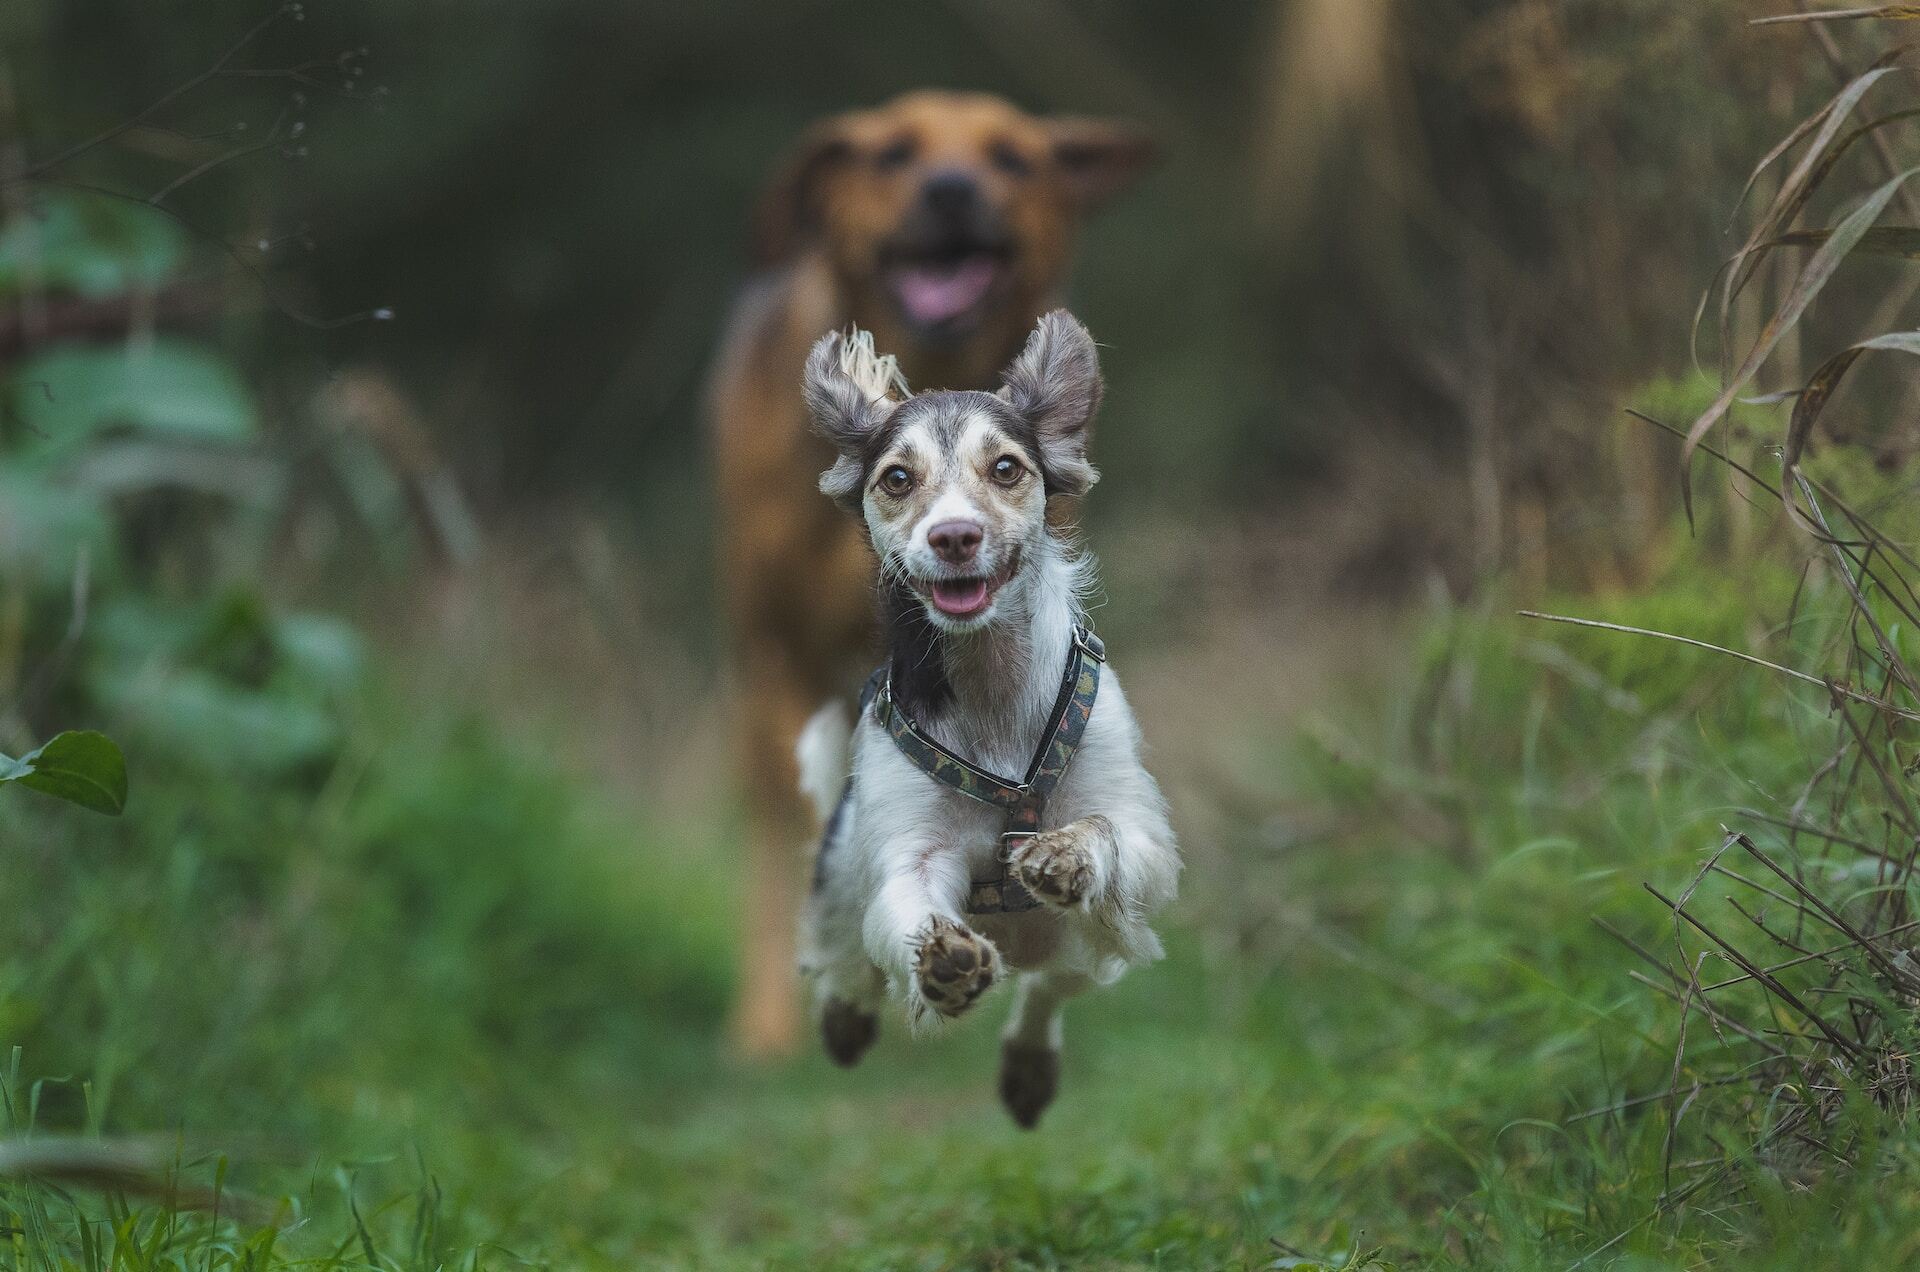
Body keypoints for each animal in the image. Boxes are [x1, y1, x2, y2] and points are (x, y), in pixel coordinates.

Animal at [787, 313, 1175, 1129]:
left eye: (1004, 468)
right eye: (897, 479)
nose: (955, 536)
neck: (992, 690)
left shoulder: (1142, 838)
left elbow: (1109, 831)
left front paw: (1064, 853)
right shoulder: (907, 851)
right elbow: (906, 905)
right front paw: (947, 962)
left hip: (1088, 941)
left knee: (1054, 983)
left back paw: (1029, 1061)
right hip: (838, 874)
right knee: (848, 959)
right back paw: (846, 1016)